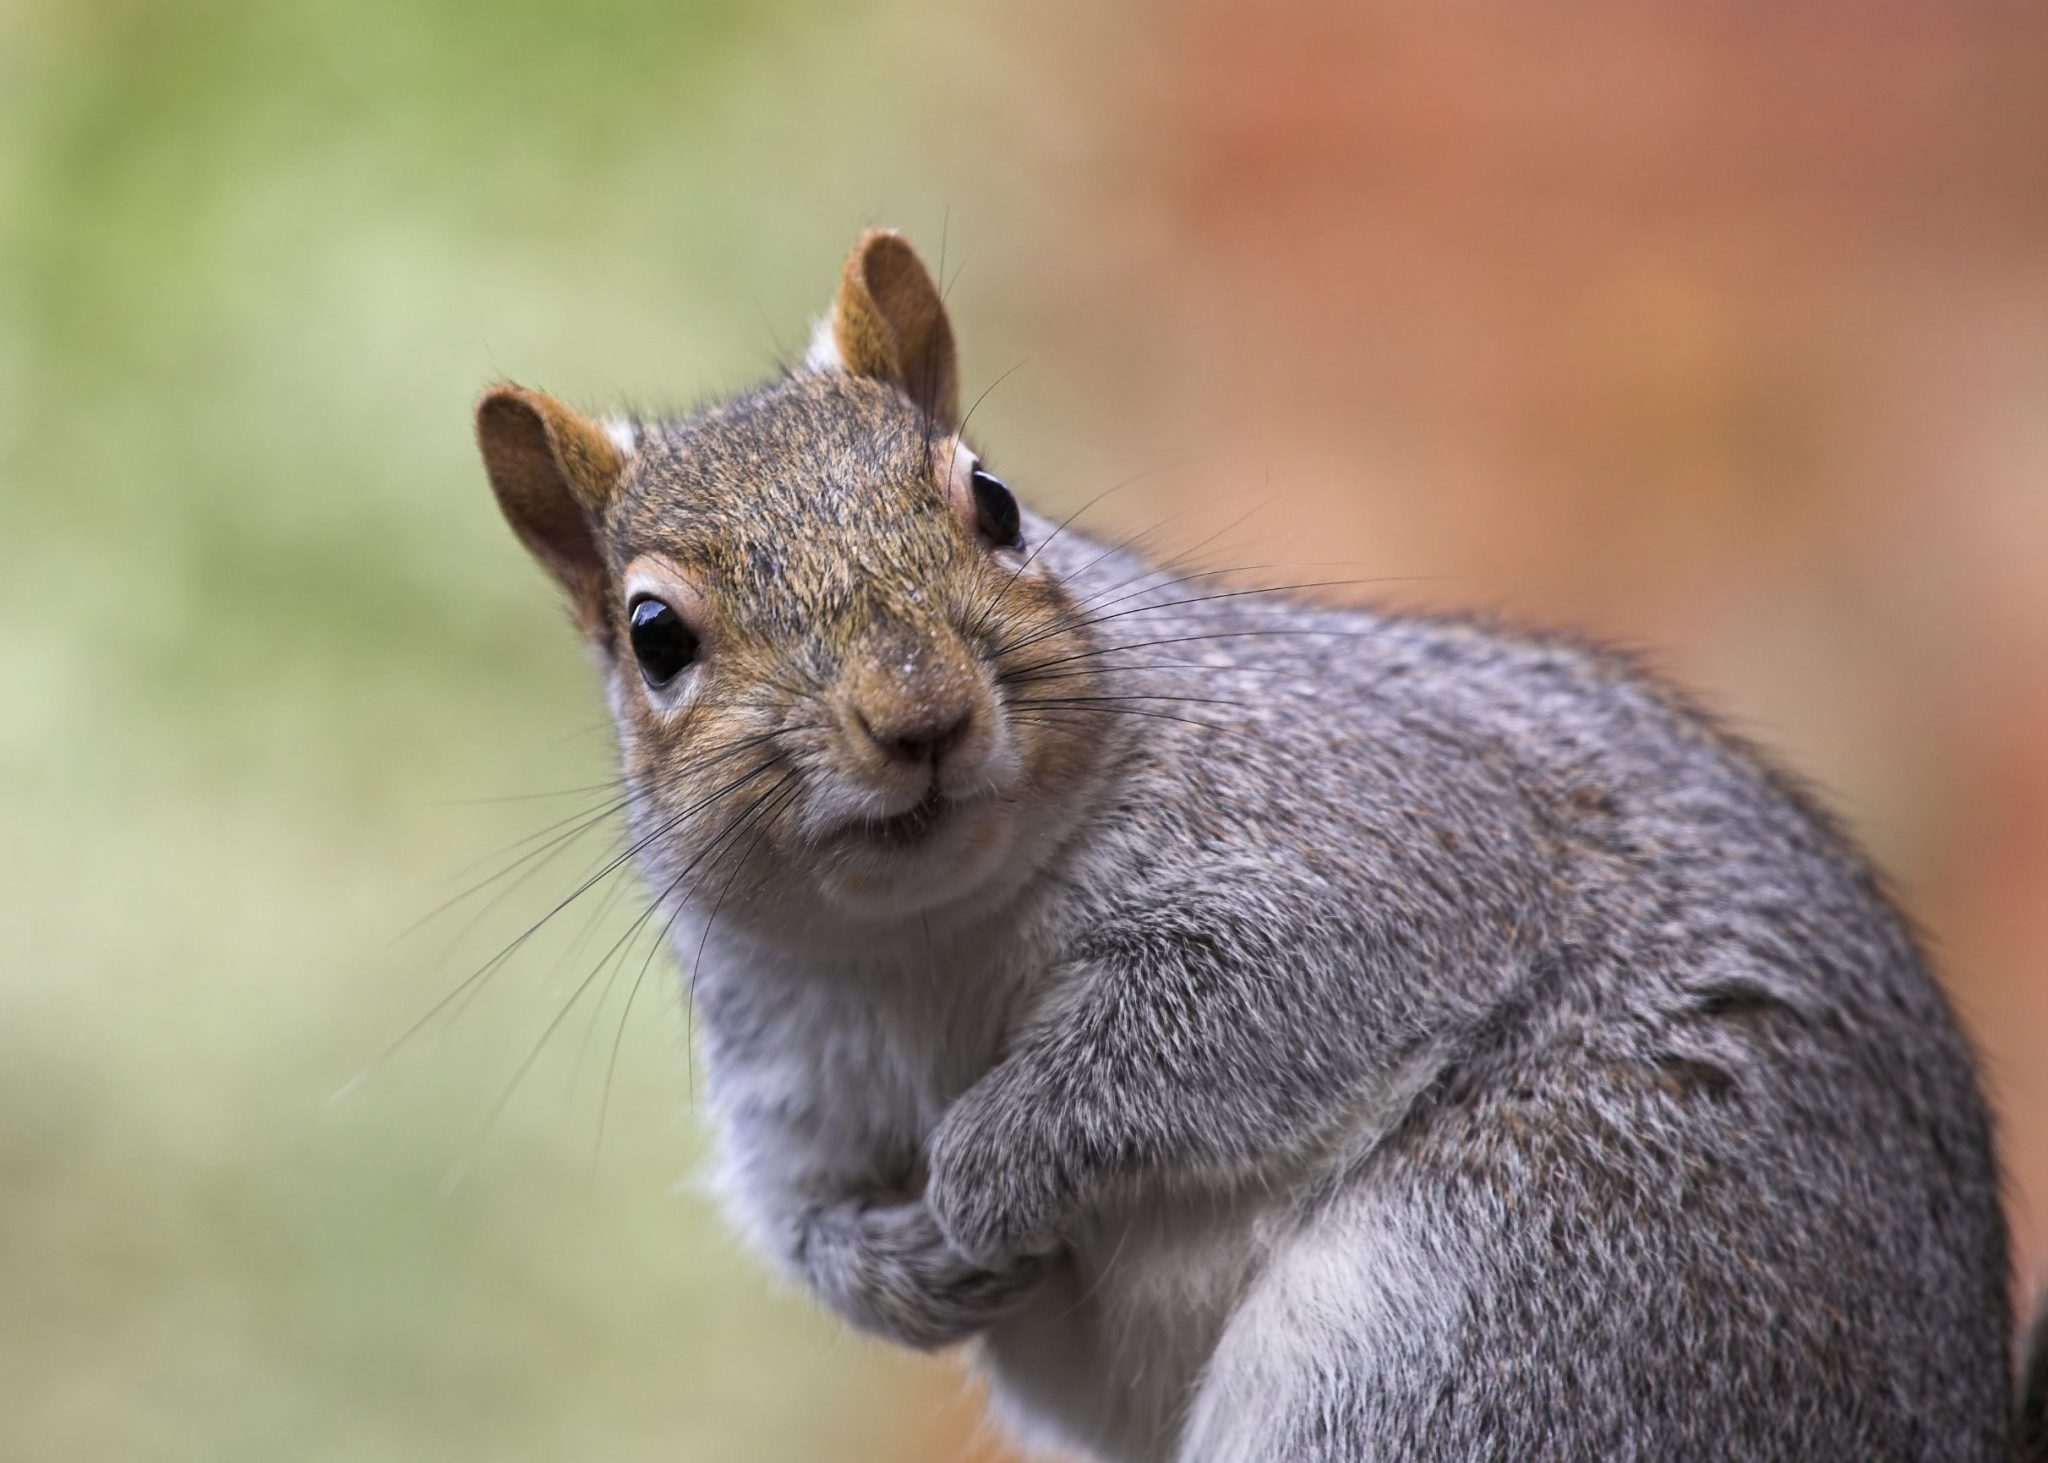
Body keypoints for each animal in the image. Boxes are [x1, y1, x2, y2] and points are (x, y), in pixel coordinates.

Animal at [472, 230, 2048, 1462]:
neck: (934, 927)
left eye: (991, 500)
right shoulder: (787, 1068)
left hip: (1517, 1291)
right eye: (653, 634)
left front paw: (984, 1168)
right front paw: (905, 1266)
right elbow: (797, 1219)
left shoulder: (1370, 842)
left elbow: (1224, 1017)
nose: (917, 714)